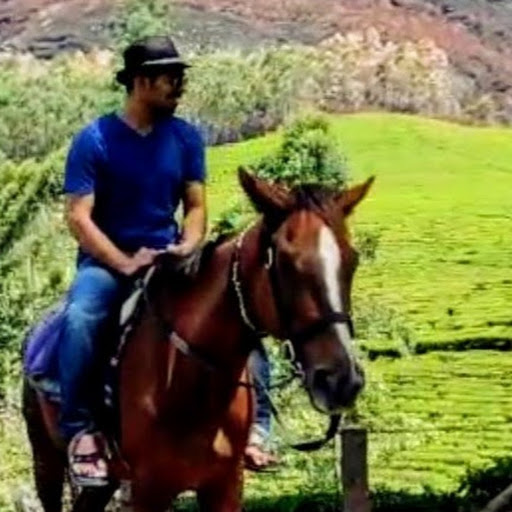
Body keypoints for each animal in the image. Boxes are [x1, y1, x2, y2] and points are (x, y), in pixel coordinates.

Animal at [22, 168, 373, 512]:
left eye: (353, 260)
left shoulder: (225, 486)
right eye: (286, 262)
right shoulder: (147, 491)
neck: (190, 385)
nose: (342, 381)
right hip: (46, 461)